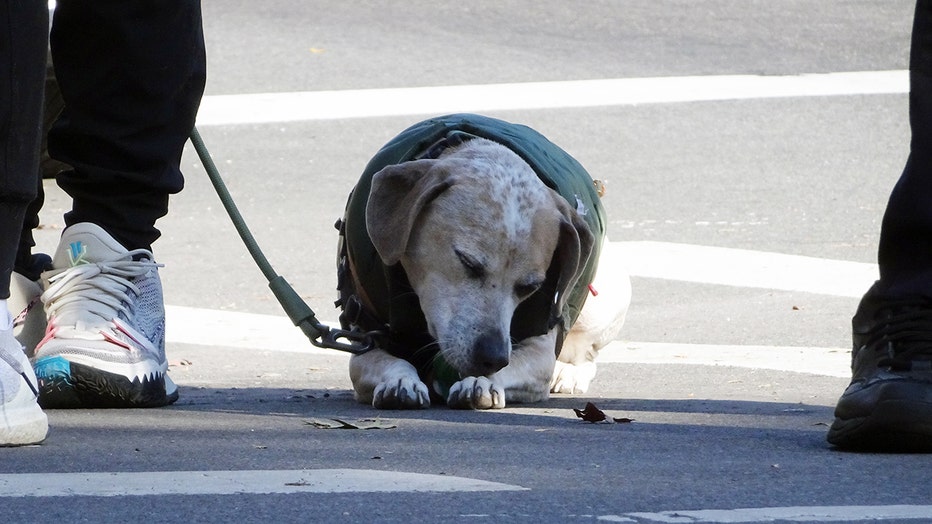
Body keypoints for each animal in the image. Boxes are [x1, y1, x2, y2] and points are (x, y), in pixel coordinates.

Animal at [334, 113, 628, 410]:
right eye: (468, 262)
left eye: (530, 287)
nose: (493, 358)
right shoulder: (364, 339)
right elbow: (383, 362)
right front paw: (400, 380)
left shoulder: (540, 349)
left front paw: (482, 382)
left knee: (586, 354)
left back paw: (569, 372)